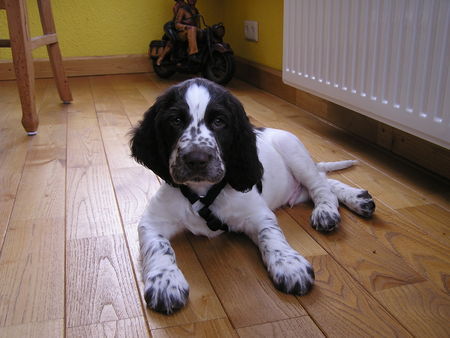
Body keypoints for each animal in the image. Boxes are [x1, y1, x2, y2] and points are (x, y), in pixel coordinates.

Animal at [131, 77, 376, 314]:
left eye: (219, 121)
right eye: (175, 121)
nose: (197, 159)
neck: (204, 193)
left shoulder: (257, 214)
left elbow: (271, 235)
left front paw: (289, 264)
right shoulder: (152, 221)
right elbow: (158, 246)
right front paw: (165, 282)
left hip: (295, 153)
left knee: (322, 187)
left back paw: (329, 210)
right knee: (326, 181)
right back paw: (358, 198)